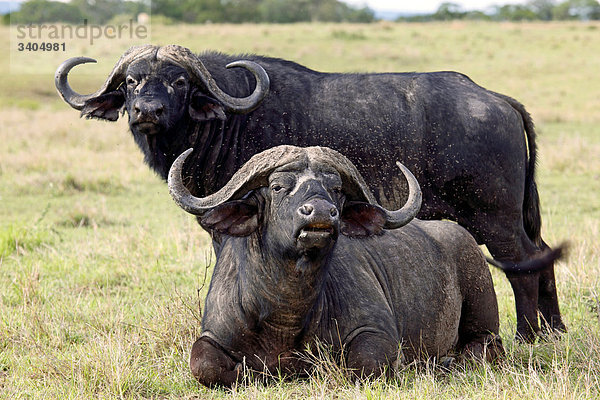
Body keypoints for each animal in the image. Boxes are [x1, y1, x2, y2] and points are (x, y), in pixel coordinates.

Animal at [56, 44, 564, 340]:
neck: (227, 120)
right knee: (543, 254)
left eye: (179, 81)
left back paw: (528, 336)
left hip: (494, 220)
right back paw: (554, 331)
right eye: (132, 81)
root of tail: (497, 100)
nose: (147, 110)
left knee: (523, 264)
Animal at [166, 145, 504, 386]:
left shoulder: (378, 333)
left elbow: (366, 364)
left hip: (483, 314)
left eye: (336, 189)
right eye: (278, 187)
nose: (320, 211)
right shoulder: (212, 335)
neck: (285, 313)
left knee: (486, 347)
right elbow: (204, 365)